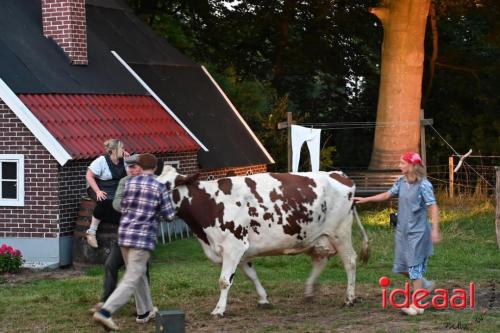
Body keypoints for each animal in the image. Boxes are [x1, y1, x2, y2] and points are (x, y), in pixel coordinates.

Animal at [158, 167, 370, 316]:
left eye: (166, 186)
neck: (209, 204)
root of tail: (339, 174)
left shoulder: (233, 247)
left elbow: (224, 281)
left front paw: (219, 309)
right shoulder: (241, 251)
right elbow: (252, 275)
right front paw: (263, 299)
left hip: (340, 233)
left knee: (350, 261)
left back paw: (349, 298)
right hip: (316, 237)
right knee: (320, 261)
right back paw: (309, 291)